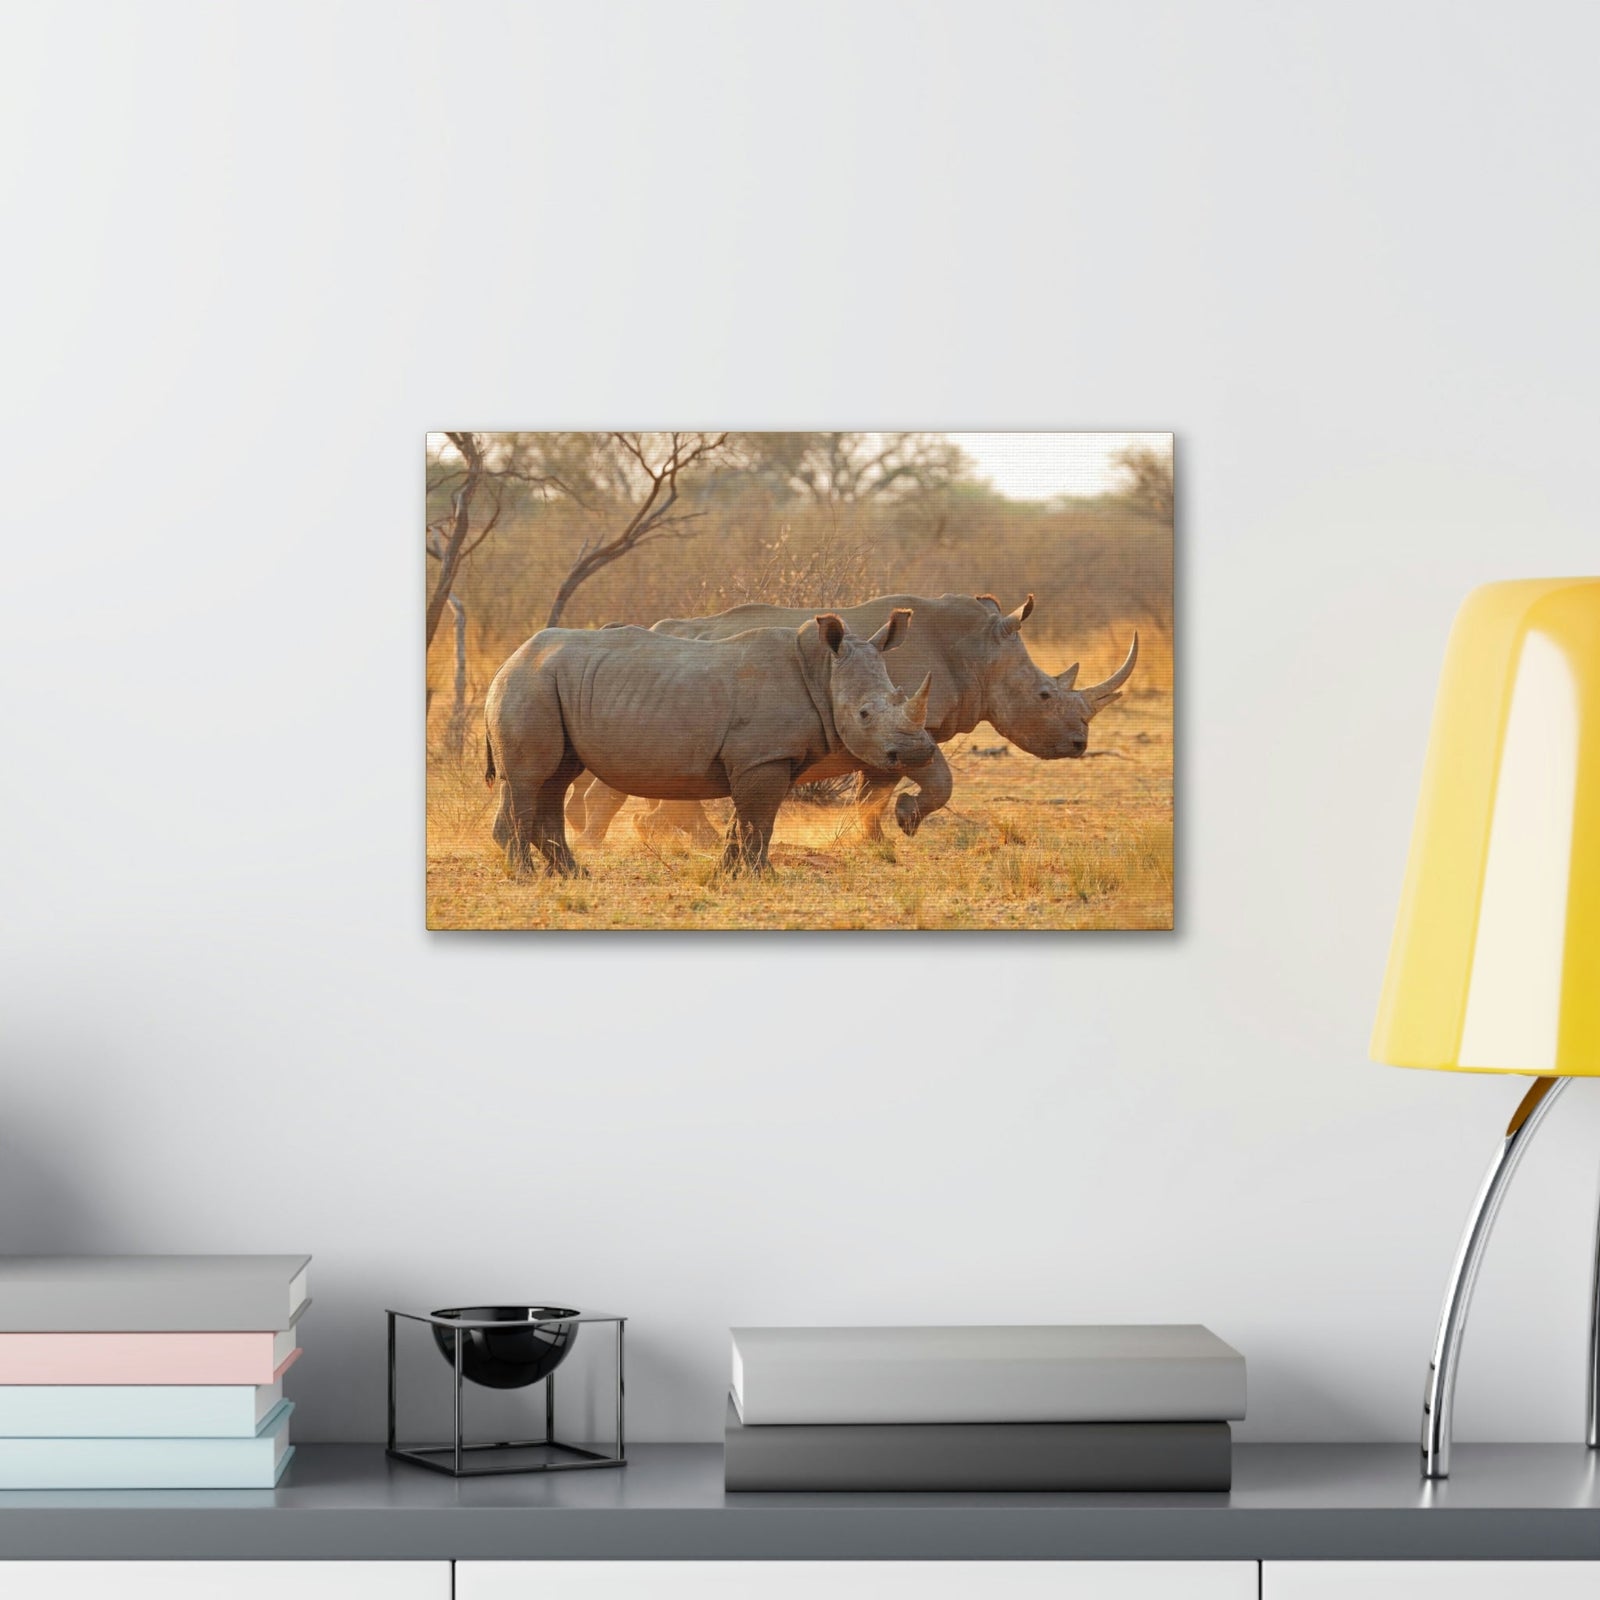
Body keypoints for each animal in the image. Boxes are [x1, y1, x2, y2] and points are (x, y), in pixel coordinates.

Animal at [484, 610, 936, 876]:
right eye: (864, 715)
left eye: (899, 695)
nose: (918, 751)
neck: (822, 670)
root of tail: (508, 660)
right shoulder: (762, 757)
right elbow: (759, 820)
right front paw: (763, 877)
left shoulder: (767, 758)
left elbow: (747, 820)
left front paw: (729, 875)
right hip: (529, 684)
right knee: (528, 780)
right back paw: (525, 876)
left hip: (547, 684)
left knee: (555, 778)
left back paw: (572, 874)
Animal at [566, 592, 1138, 847]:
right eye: (1045, 694)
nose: (1080, 743)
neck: (977, 650)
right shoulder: (908, 726)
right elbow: (927, 780)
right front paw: (901, 825)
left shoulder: (892, 729)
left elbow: (875, 788)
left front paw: (871, 838)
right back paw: (603, 844)